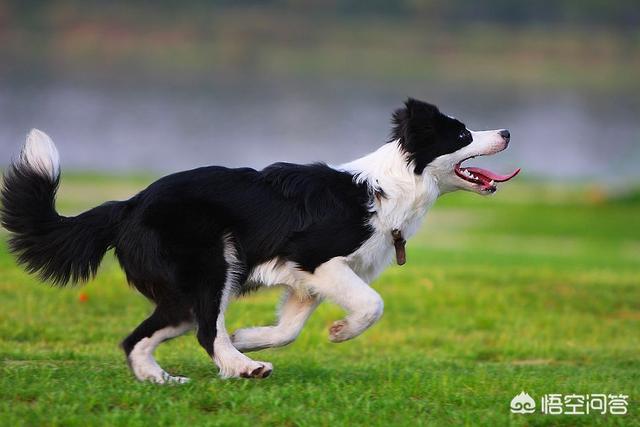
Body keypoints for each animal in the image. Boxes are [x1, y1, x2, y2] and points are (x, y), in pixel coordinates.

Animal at [1, 98, 520, 382]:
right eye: (462, 134)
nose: (507, 131)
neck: (391, 187)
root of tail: (126, 205)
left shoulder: (307, 281)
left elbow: (288, 329)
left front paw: (250, 338)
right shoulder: (315, 257)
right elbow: (372, 304)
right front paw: (339, 332)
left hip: (185, 294)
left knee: (140, 337)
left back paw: (163, 379)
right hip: (214, 266)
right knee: (205, 330)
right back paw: (240, 369)